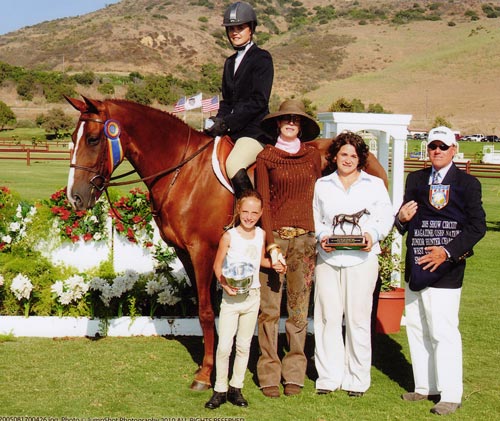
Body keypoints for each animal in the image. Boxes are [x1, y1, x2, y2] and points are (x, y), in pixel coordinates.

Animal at [65, 96, 386, 390]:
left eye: (93, 139)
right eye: (72, 139)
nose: (75, 198)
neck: (183, 171)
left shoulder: (201, 251)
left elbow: (208, 313)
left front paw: (206, 375)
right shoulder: (185, 253)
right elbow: (205, 310)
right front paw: (214, 362)